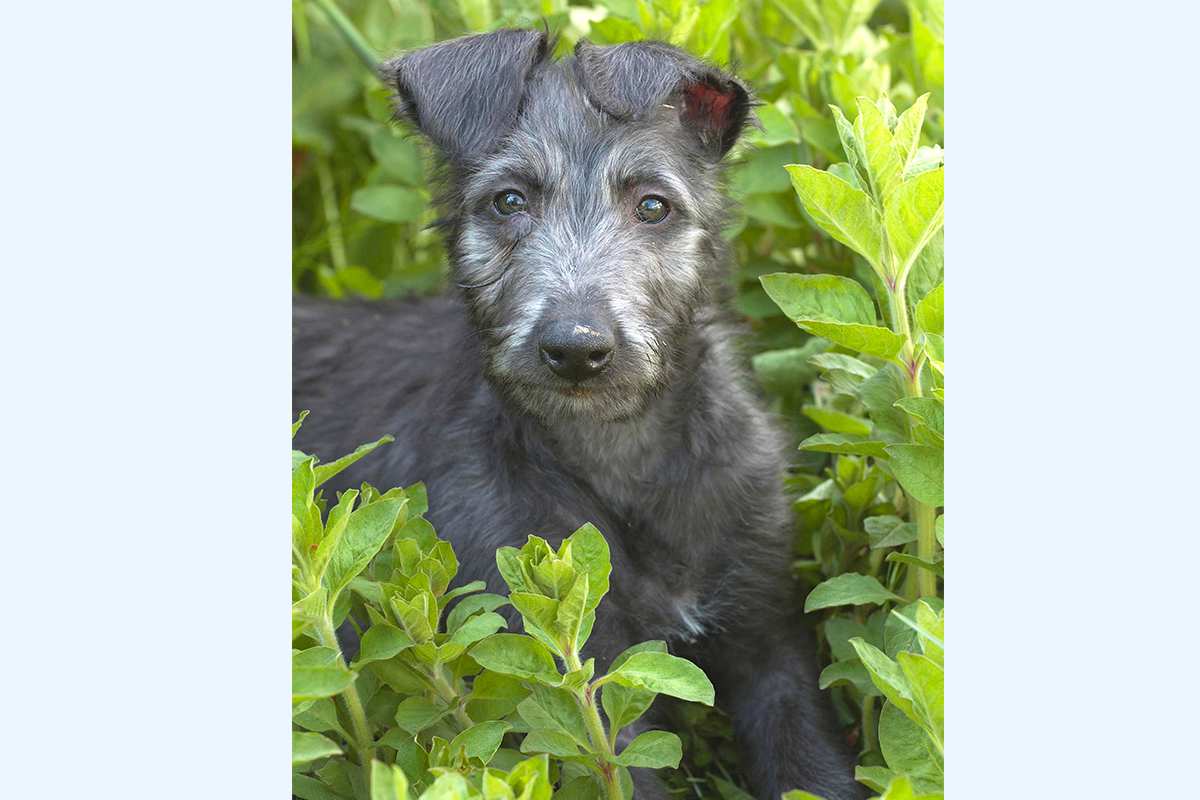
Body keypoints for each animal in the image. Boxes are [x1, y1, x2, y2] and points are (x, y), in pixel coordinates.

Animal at [295, 28, 868, 796]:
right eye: (509, 200)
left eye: (653, 206)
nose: (576, 349)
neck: (617, 447)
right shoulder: (569, 667)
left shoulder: (770, 640)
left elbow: (811, 765)